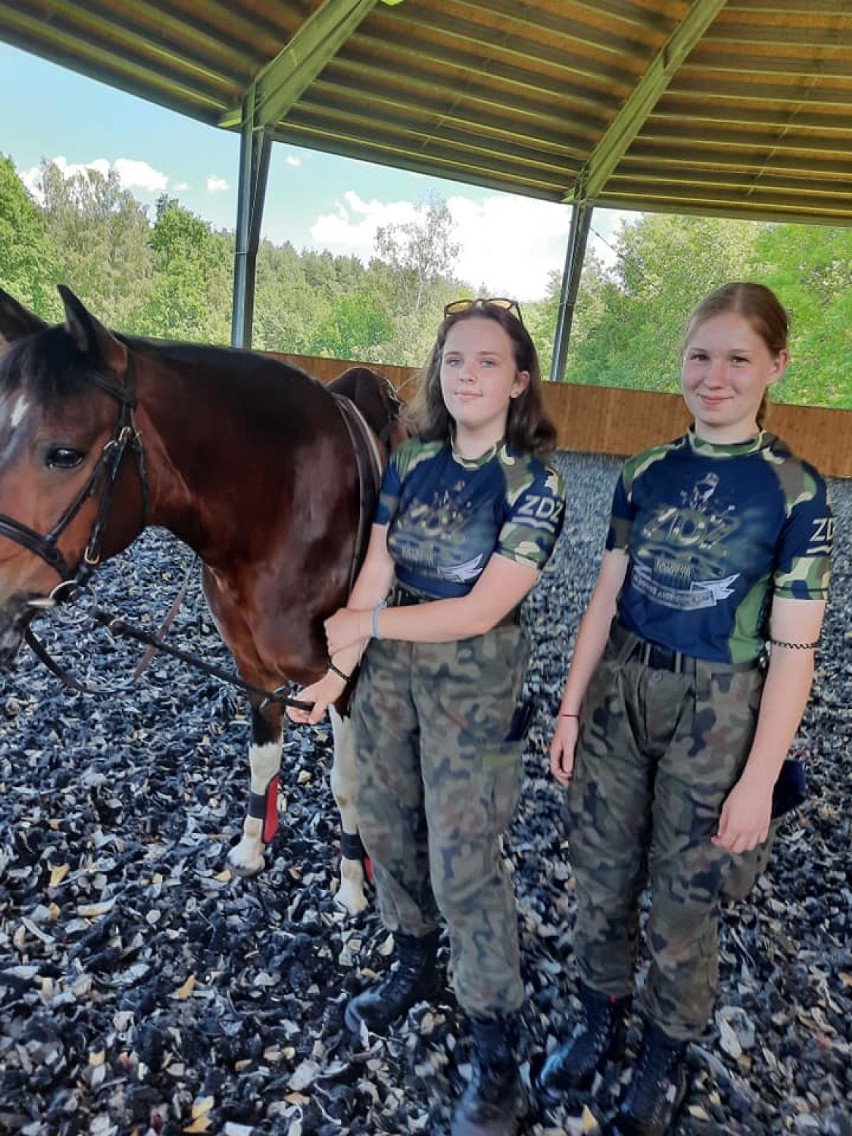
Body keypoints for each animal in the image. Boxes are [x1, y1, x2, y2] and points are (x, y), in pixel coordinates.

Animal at [0, 284, 408, 913]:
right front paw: (252, 849)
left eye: (64, 454)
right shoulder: (252, 667)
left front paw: (351, 882)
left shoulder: (345, 674)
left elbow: (346, 783)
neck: (283, 513)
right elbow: (262, 756)